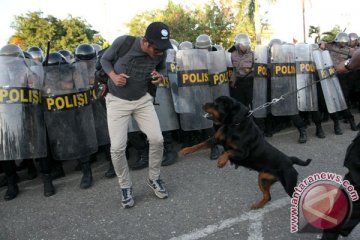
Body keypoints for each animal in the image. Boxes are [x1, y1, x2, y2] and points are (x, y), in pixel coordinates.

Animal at [180, 96, 312, 209]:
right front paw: (184, 151)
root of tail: (289, 160)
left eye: (216, 103)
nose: (202, 104)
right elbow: (199, 145)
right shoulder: (215, 139)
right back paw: (257, 205)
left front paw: (221, 161)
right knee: (268, 196)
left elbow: (228, 152)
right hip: (263, 178)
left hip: (288, 183)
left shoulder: (243, 152)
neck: (233, 124)